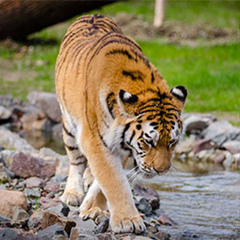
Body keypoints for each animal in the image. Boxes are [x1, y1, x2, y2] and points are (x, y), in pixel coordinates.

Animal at [54, 14, 188, 233]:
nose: (161, 170)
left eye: (172, 142)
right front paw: (127, 221)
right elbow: (114, 180)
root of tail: (92, 15)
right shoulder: (94, 139)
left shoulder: (123, 144)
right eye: (148, 142)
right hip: (69, 125)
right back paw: (72, 193)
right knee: (75, 161)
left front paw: (92, 207)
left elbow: (106, 180)